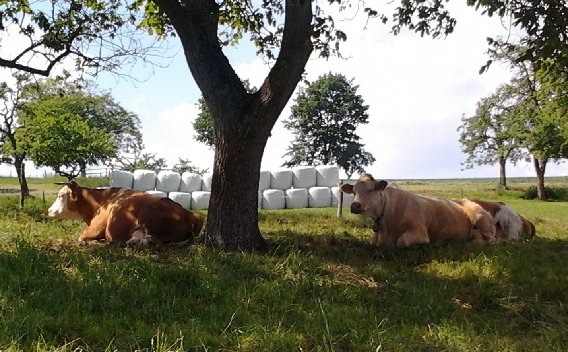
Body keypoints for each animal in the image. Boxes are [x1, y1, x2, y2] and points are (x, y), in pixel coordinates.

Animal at [47, 182, 205, 248]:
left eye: (61, 195)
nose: (48, 211)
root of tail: (191, 215)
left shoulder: (95, 228)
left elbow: (80, 238)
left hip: (148, 215)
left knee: (151, 242)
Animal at [340, 174, 494, 248]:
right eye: (353, 192)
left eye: (371, 190)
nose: (355, 205)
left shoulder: (419, 232)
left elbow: (402, 241)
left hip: (481, 219)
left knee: (491, 240)